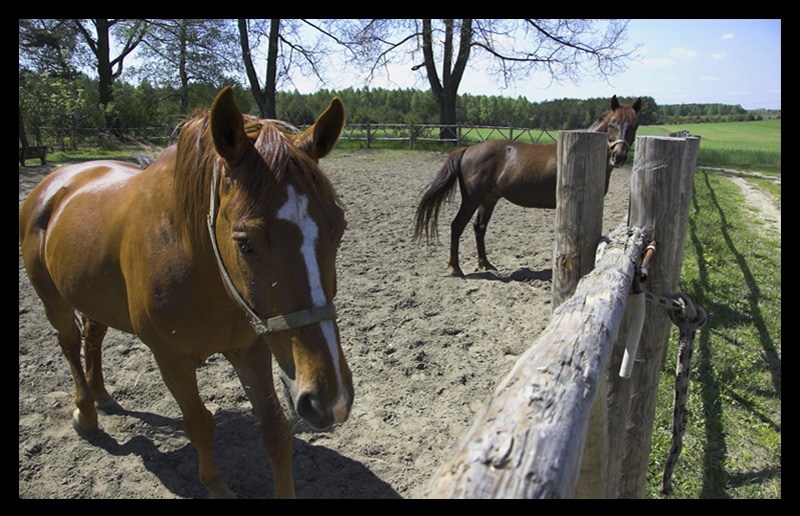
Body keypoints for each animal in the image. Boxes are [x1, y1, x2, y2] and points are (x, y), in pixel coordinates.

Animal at [18, 86, 354, 498]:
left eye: (338, 228)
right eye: (245, 243)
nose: (330, 399)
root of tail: (56, 182)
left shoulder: (251, 348)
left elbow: (275, 430)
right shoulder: (171, 360)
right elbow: (199, 425)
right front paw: (217, 487)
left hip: (93, 297)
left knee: (92, 338)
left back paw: (102, 395)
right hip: (54, 301)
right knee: (68, 343)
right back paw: (85, 412)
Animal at [416, 95, 640, 276]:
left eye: (634, 126)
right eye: (612, 124)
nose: (619, 156)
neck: (583, 155)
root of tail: (467, 149)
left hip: (489, 198)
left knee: (479, 227)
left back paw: (485, 264)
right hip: (472, 198)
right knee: (457, 226)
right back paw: (455, 268)